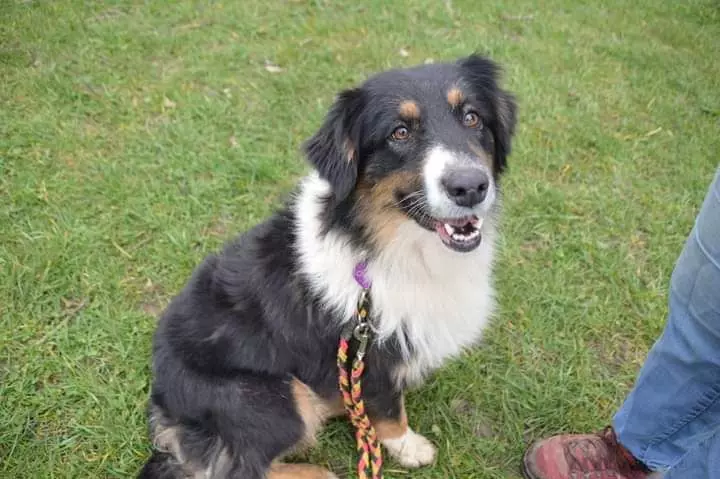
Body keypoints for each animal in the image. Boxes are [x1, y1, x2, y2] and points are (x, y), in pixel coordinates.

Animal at [139, 54, 517, 479]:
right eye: (399, 132)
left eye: (472, 117)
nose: (470, 187)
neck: (386, 243)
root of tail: (164, 408)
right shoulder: (369, 356)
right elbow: (389, 410)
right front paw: (408, 446)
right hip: (271, 397)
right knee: (241, 467)